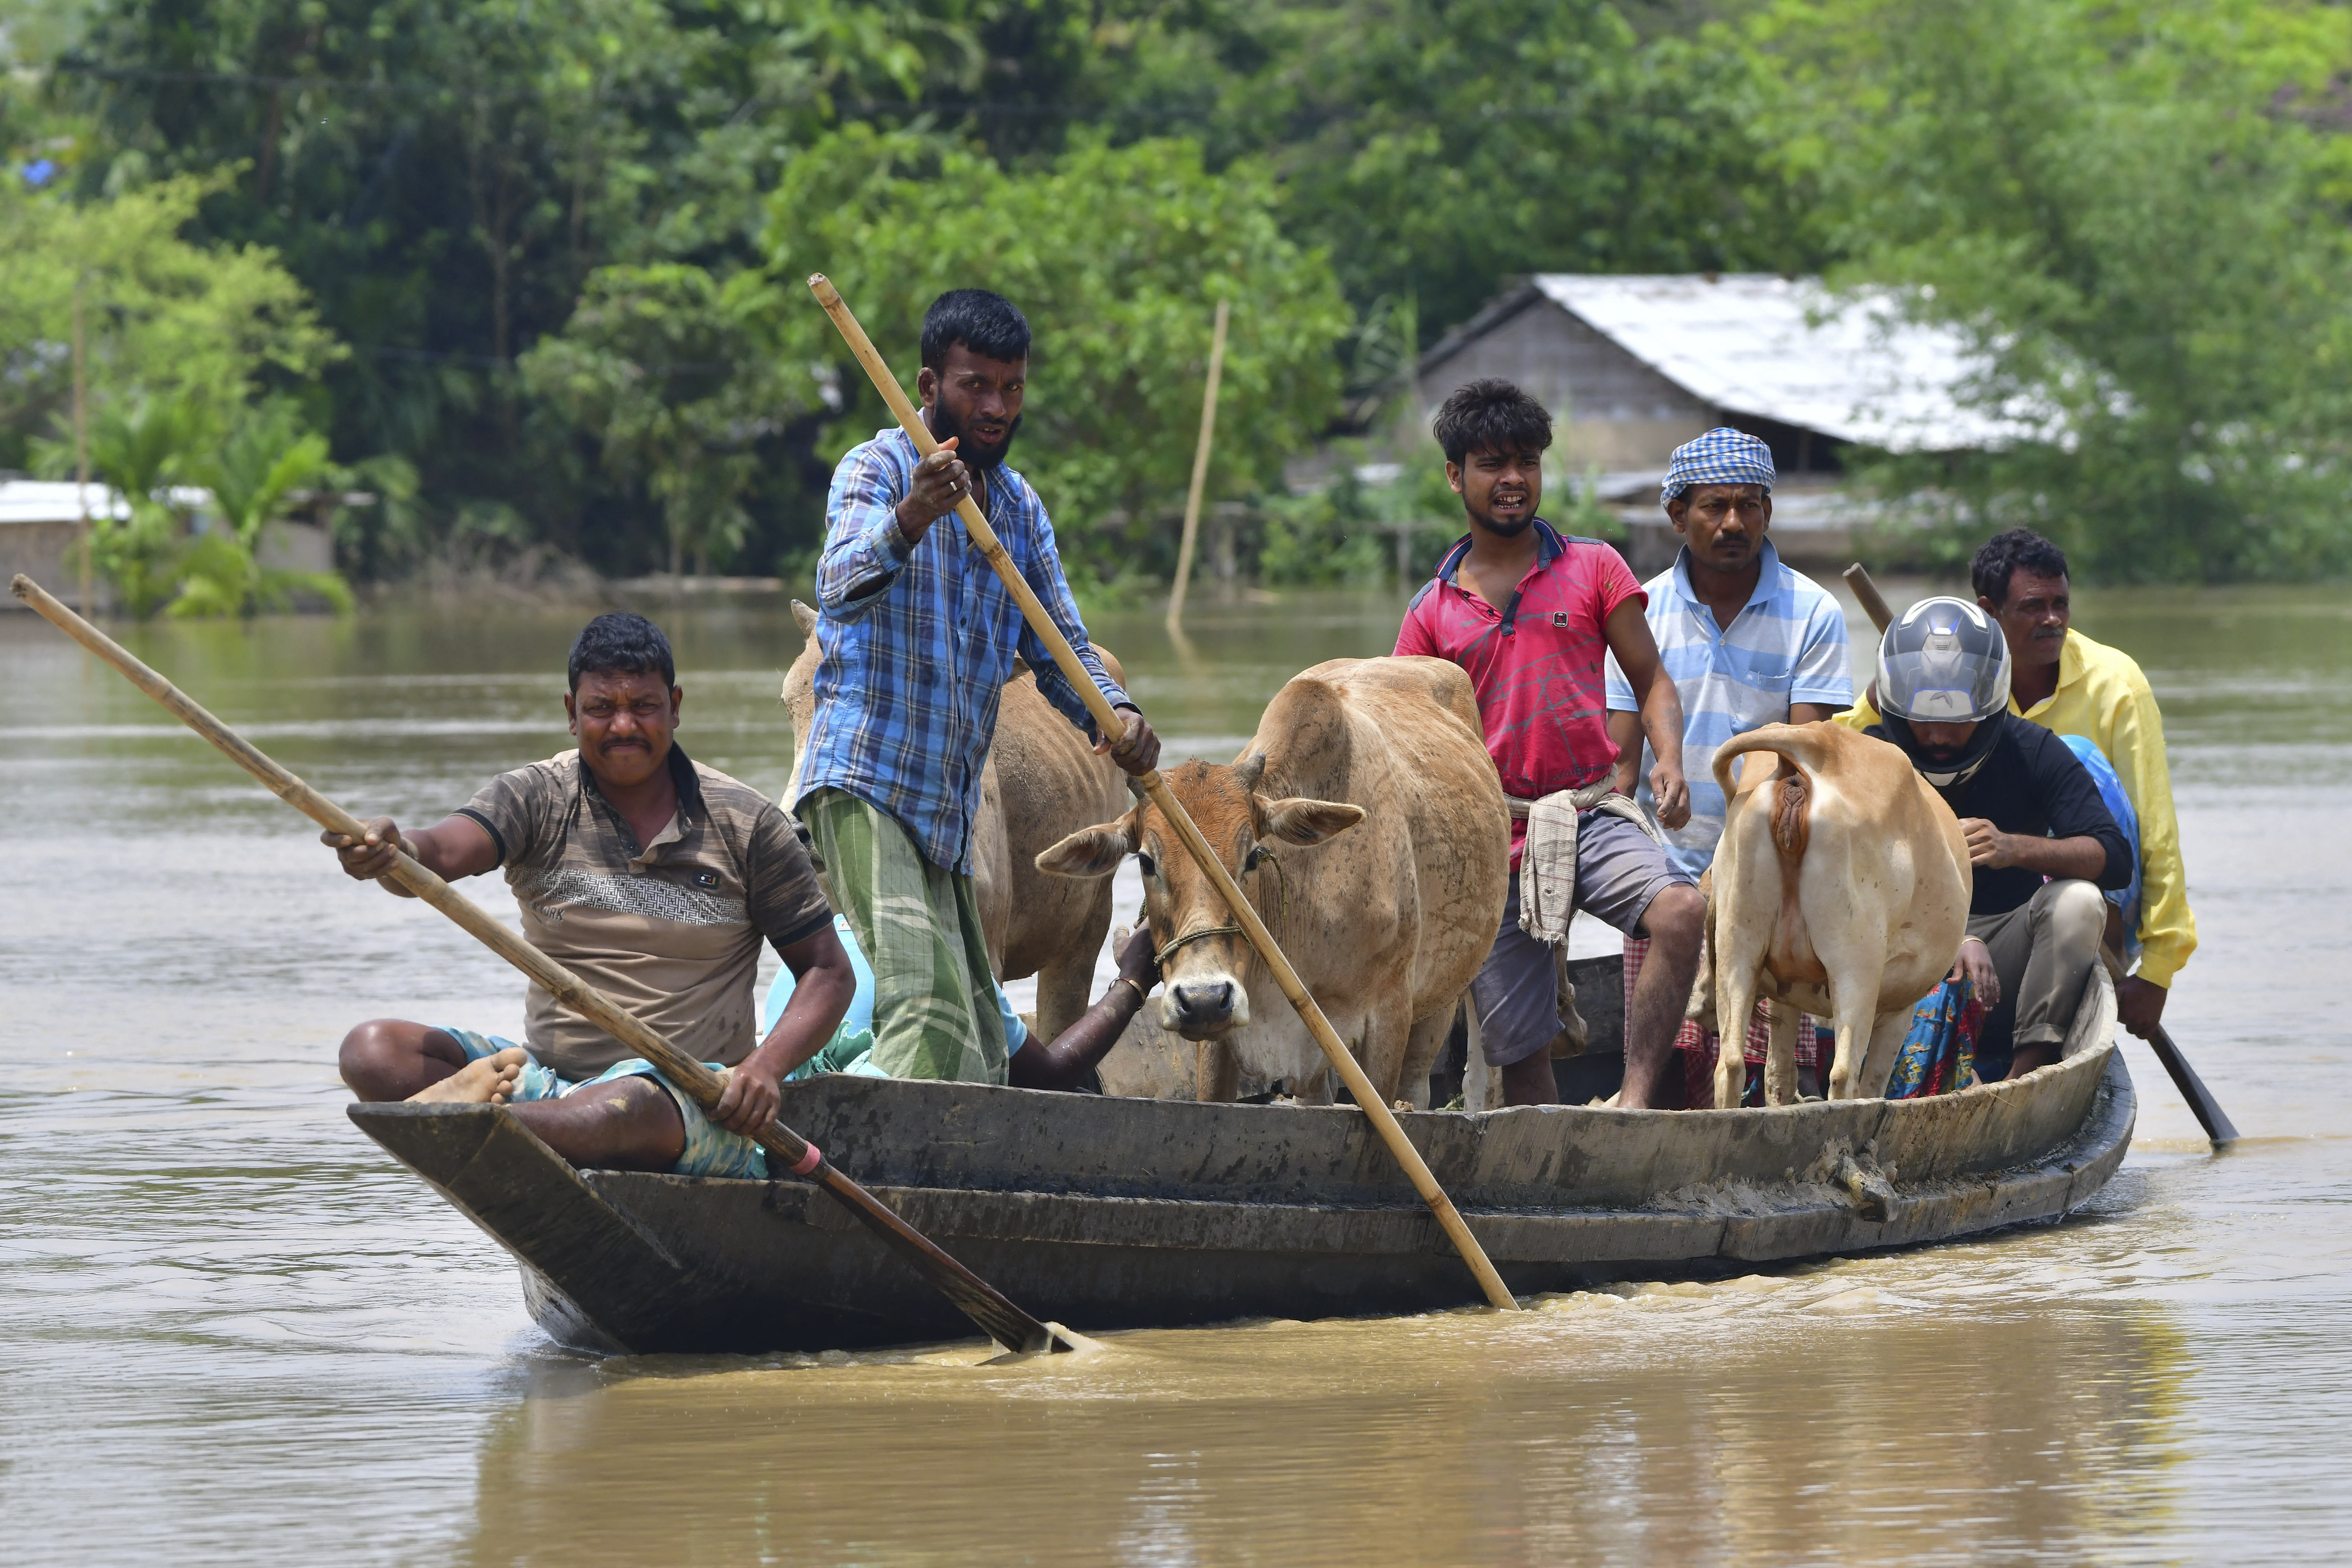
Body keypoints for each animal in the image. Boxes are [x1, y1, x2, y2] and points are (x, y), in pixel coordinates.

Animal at [1035, 655, 1510, 1108]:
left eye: (1252, 857)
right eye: (1147, 862)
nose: (1204, 996)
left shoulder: (1389, 1017)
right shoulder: (1222, 1040)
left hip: (1444, 995)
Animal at [1700, 722, 1972, 1107]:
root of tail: (1817, 742)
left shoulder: (1785, 994)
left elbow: (1778, 1073)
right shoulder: (1901, 1008)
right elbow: (1874, 1082)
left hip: (1738, 947)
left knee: (1731, 1064)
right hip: (1855, 964)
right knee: (1845, 1076)